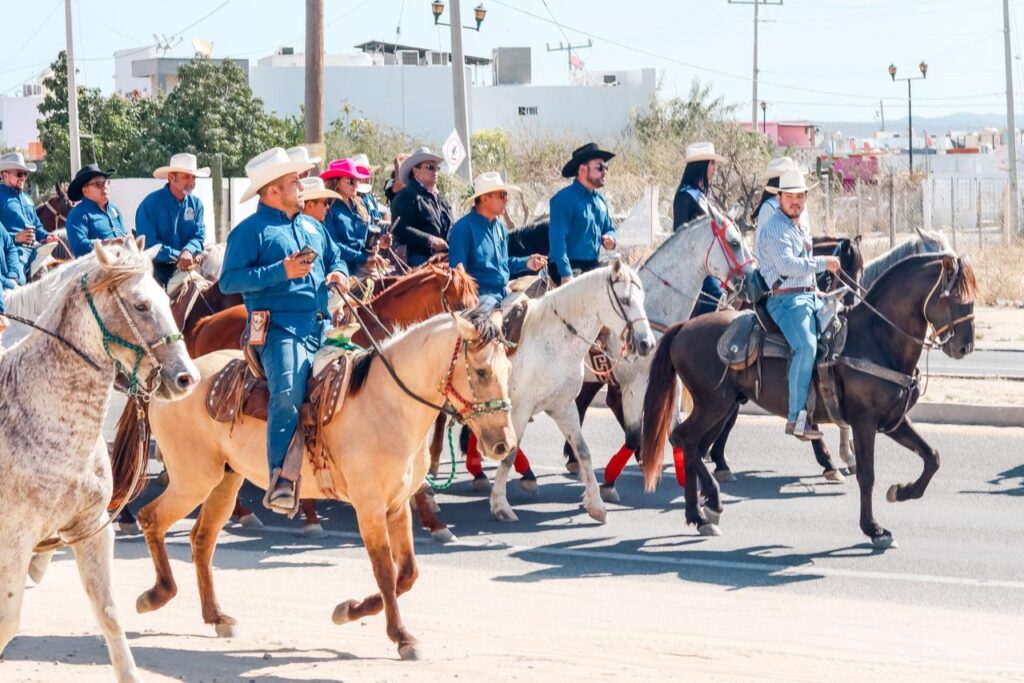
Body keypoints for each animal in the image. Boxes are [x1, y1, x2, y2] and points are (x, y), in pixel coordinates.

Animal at [0, 238, 199, 683]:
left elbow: (108, 613)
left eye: (168, 298)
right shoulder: (14, 540)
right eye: (140, 305)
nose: (186, 378)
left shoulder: (90, 528)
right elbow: (7, 619)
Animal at [116, 309, 515, 660]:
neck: (388, 403)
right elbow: (386, 572)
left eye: (510, 369)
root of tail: (171, 382)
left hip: (224, 481)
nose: (504, 445)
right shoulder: (369, 506)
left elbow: (408, 573)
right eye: (481, 371)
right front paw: (401, 637)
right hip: (193, 479)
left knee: (202, 539)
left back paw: (216, 617)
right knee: (152, 518)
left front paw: (350, 609)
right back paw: (156, 595)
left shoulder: (397, 504)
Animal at [640, 252, 977, 548]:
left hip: (721, 407)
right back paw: (711, 501)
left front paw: (902, 491)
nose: (965, 347)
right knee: (683, 438)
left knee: (694, 446)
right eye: (954, 297)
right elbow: (867, 475)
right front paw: (875, 529)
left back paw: (699, 515)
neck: (875, 339)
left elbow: (932, 456)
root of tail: (683, 328)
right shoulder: (864, 423)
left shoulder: (893, 421)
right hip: (713, 405)